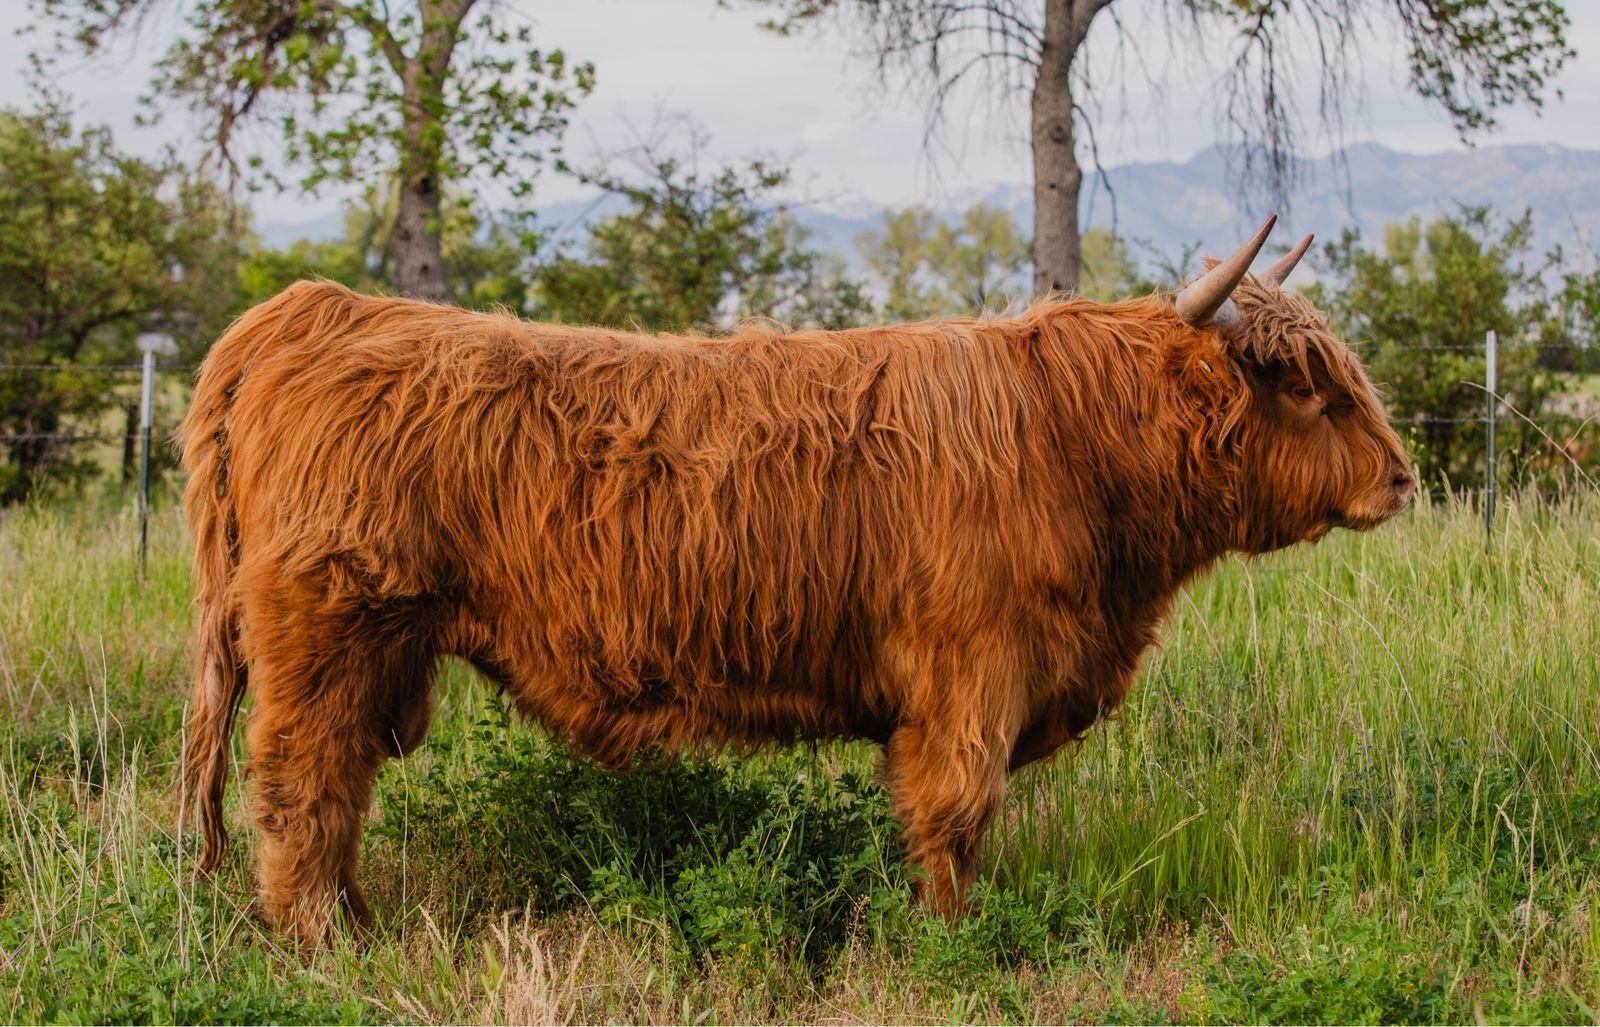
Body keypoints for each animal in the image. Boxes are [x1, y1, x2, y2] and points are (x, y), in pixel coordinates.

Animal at [179, 216, 1413, 945]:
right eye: (1305, 383)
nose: (1402, 476)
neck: (1078, 442)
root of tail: (318, 307)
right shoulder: (973, 670)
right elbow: (957, 811)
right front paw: (950, 942)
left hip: (382, 645)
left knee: (337, 785)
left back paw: (358, 919)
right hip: (332, 626)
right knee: (300, 780)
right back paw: (323, 940)